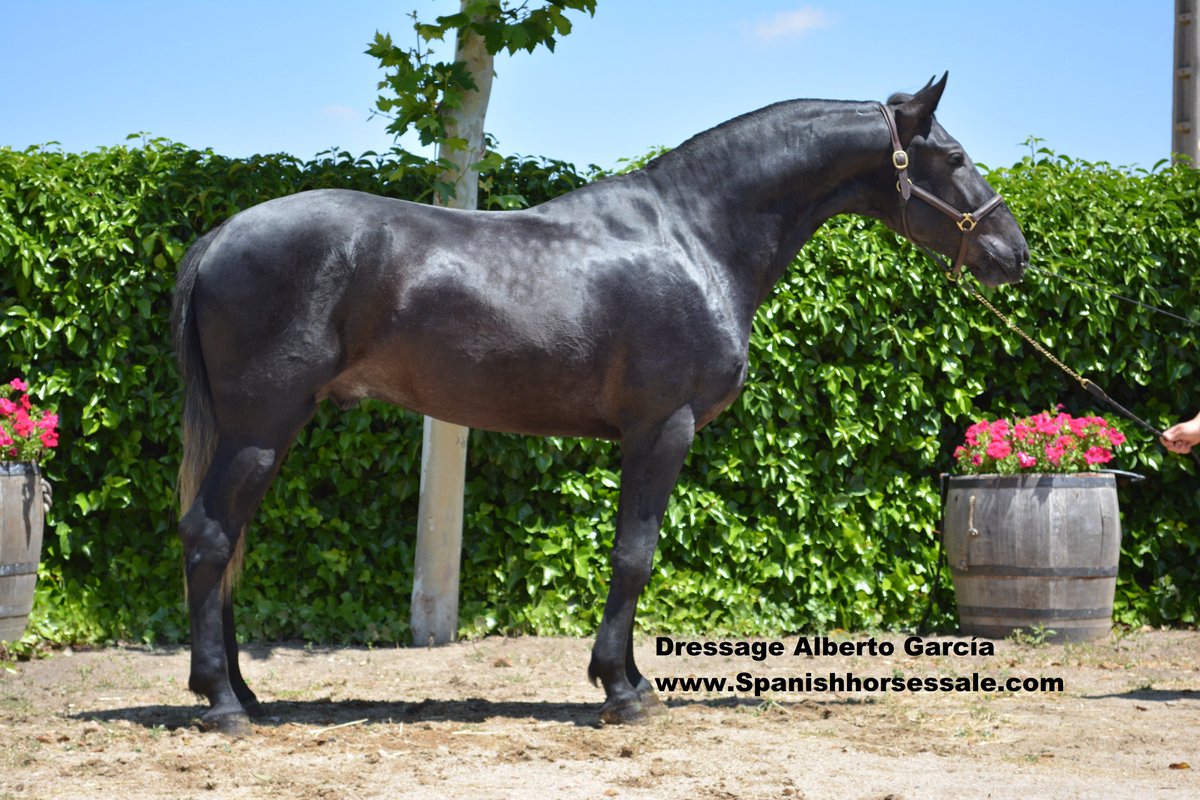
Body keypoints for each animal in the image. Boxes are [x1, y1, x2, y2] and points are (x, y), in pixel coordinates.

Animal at [171, 74, 1029, 734]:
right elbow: (634, 555)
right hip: (261, 426)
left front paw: (632, 677)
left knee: (226, 541)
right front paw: (621, 689)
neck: (694, 237)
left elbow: (634, 554)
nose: (1013, 253)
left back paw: (243, 691)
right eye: (952, 157)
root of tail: (219, 238)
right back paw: (222, 703)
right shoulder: (661, 429)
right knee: (210, 535)